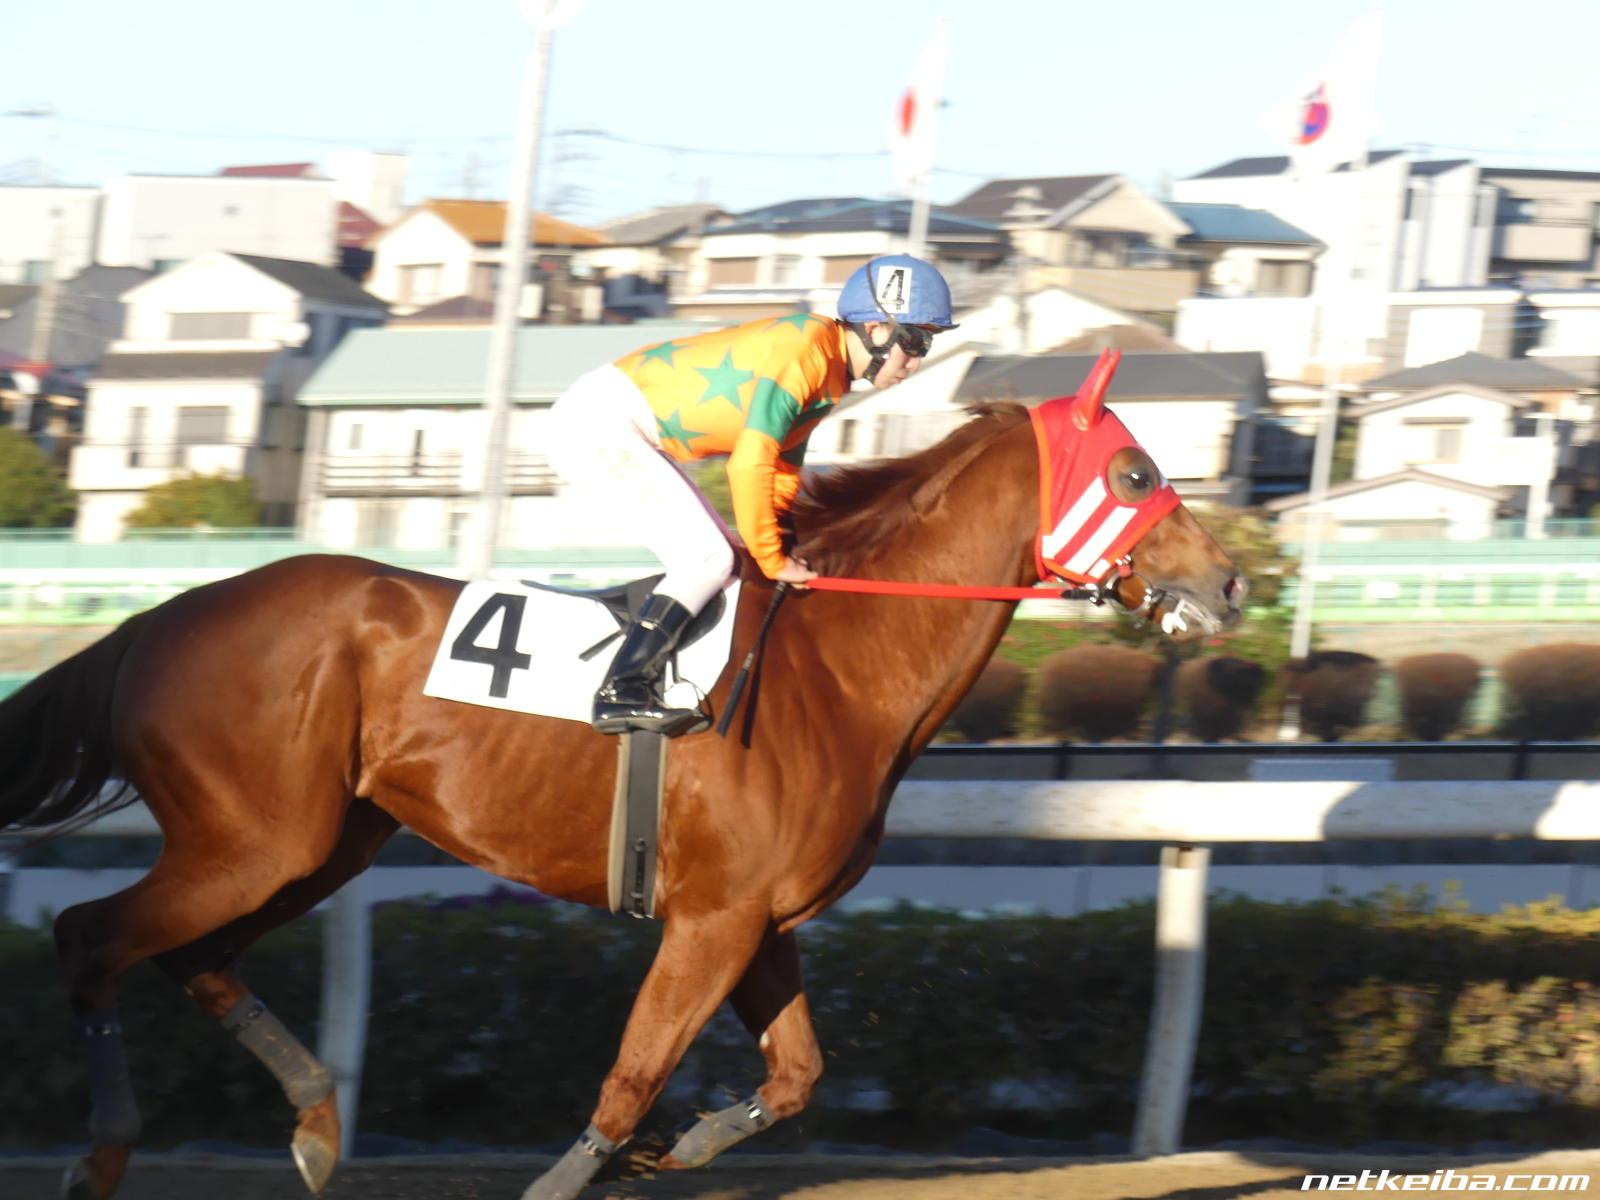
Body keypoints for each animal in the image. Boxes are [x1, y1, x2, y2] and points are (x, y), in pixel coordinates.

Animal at [0, 356, 1244, 1200]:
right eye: (1135, 468)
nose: (1230, 584)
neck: (834, 666)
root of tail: (162, 616)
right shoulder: (711, 920)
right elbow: (634, 1071)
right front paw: (600, 1161)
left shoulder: (758, 919)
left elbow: (796, 1076)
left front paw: (669, 1148)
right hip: (256, 839)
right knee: (90, 937)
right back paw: (103, 1155)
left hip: (321, 842)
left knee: (191, 958)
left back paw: (315, 1126)